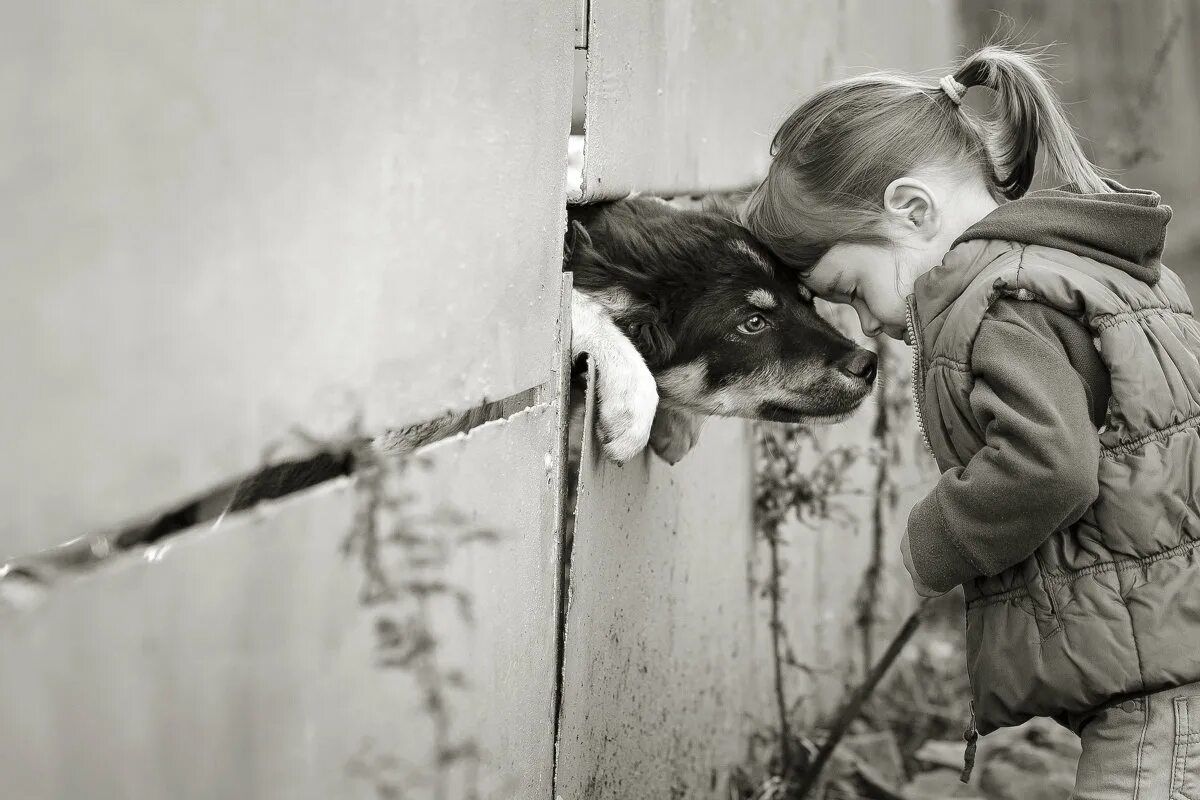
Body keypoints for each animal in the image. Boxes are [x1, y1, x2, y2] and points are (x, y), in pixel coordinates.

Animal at [566, 196, 878, 465]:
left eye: (808, 300)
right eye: (753, 323)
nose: (868, 365)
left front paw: (678, 426)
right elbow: (578, 302)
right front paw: (632, 407)